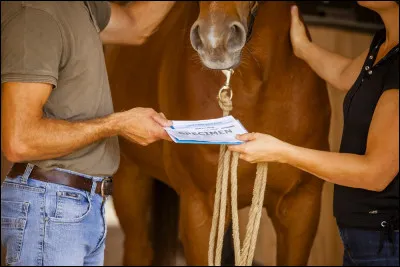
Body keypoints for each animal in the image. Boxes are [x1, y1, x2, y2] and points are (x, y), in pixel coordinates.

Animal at [104, 1, 332, 266]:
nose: (215, 41)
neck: (257, 85)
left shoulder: (301, 205)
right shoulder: (200, 208)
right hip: (130, 178)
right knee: (138, 248)